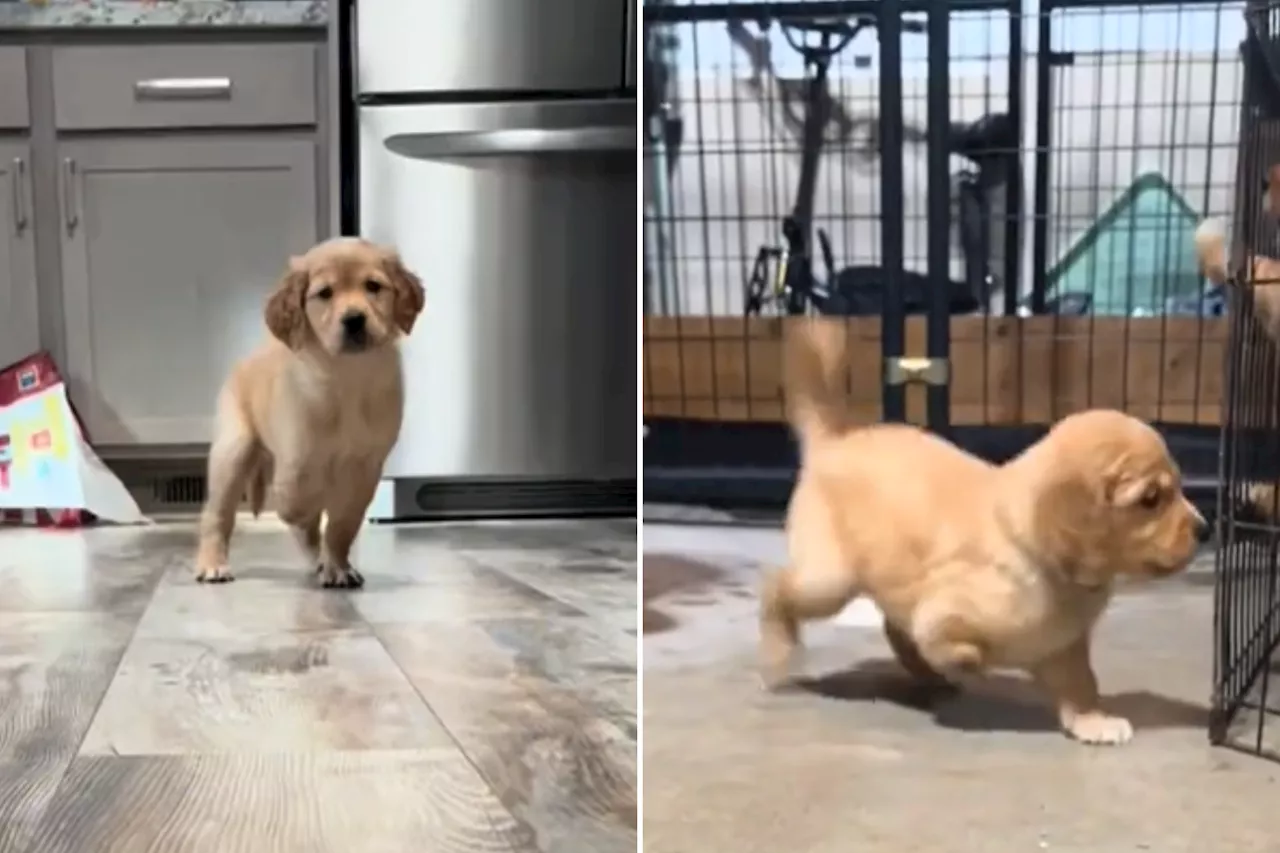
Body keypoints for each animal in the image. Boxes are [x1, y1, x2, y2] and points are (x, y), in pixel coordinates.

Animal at [193, 235, 424, 589]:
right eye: (324, 293)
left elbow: (342, 524)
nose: (354, 319)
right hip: (233, 450)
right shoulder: (296, 455)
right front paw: (301, 521)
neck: (346, 377)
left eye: (373, 286)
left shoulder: (365, 467)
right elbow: (295, 500)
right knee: (216, 515)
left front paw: (338, 566)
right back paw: (213, 564)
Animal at [757, 315, 1208, 742]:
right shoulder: (940, 610)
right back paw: (779, 653)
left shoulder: (1064, 647)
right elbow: (949, 642)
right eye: (1151, 498)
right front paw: (967, 663)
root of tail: (834, 440)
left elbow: (1082, 684)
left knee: (891, 626)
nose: (1205, 530)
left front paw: (1093, 721)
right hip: (829, 580)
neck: (1039, 557)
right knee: (777, 588)